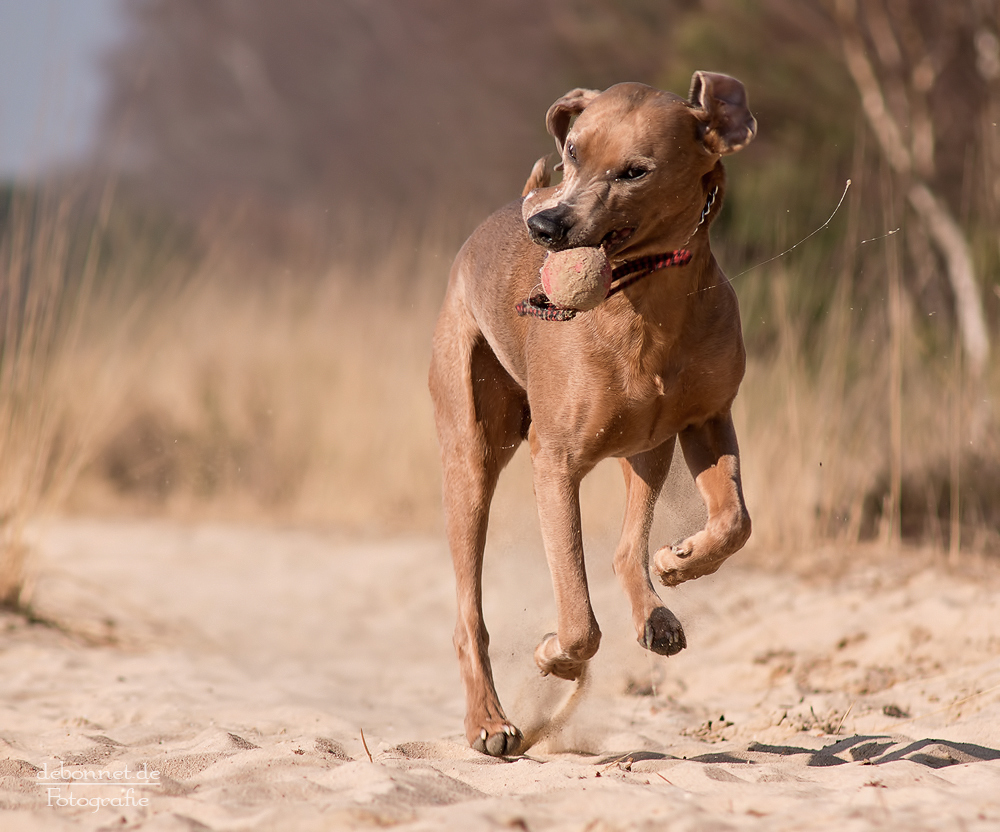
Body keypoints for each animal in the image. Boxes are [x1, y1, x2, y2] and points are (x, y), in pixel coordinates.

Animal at [426, 73, 752, 760]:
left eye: (635, 171)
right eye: (572, 152)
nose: (546, 225)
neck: (644, 300)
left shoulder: (708, 421)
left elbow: (735, 520)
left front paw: (681, 559)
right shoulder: (555, 464)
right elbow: (578, 621)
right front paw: (554, 655)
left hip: (647, 446)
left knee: (629, 543)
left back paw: (656, 611)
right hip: (471, 458)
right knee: (470, 613)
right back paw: (489, 721)